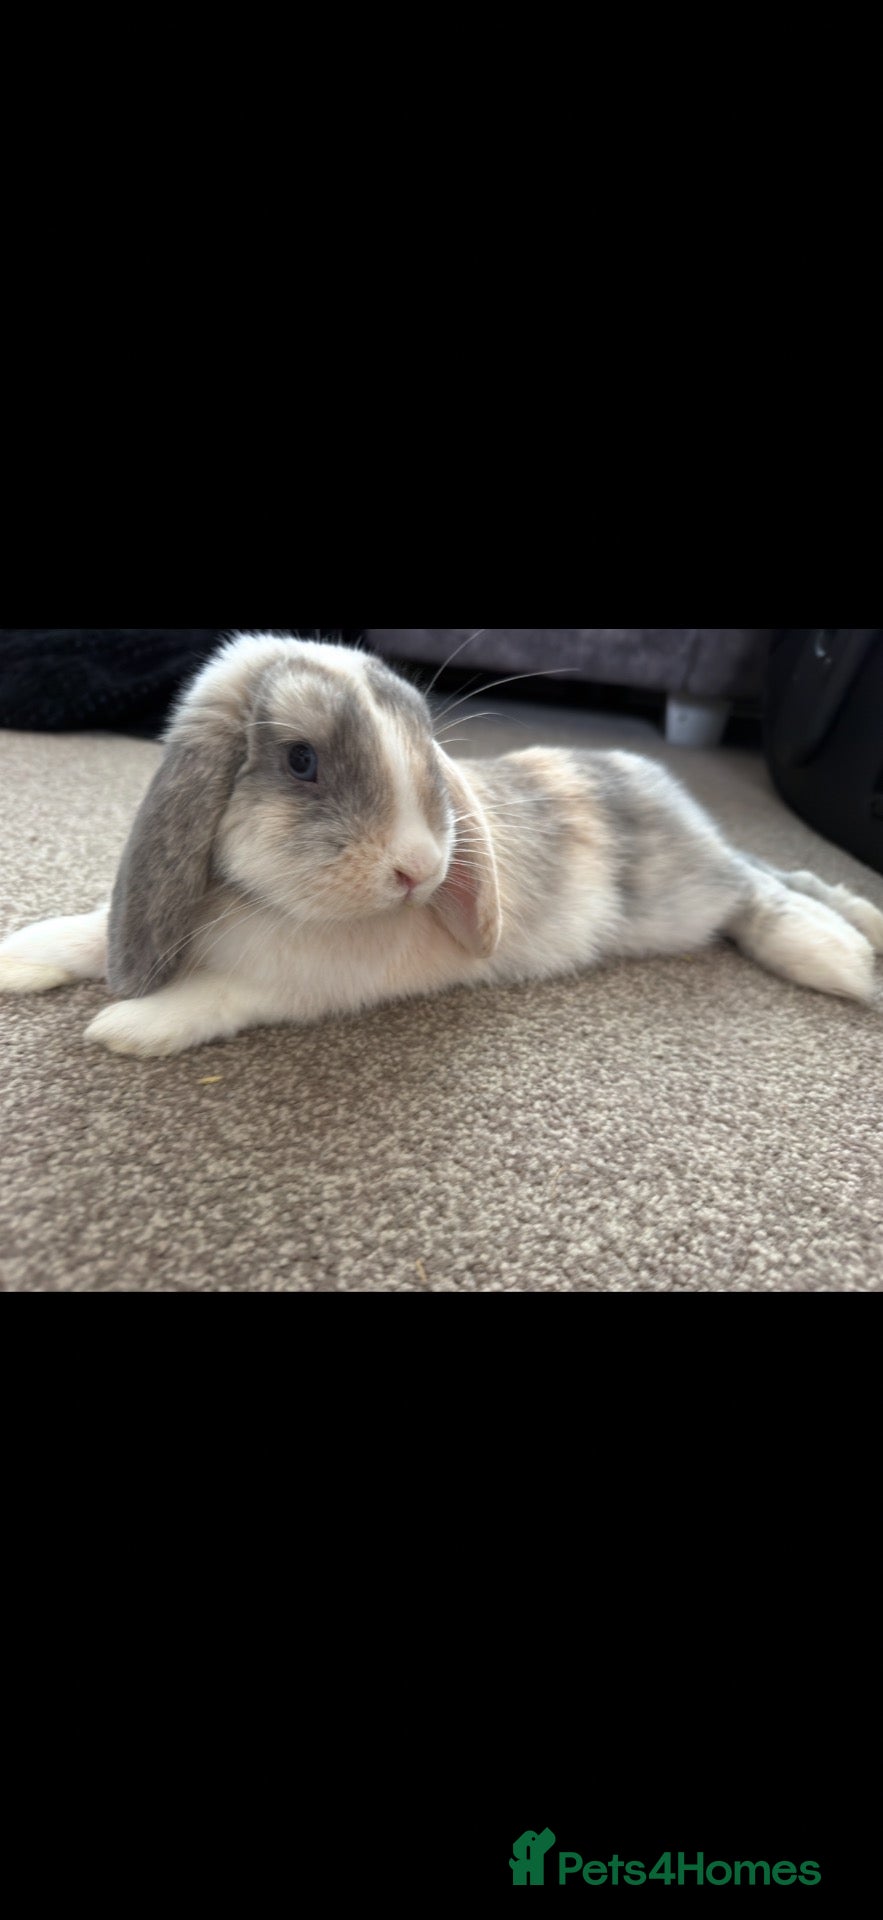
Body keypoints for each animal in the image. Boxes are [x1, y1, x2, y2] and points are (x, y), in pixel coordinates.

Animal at [1, 632, 881, 1058]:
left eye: (427, 753)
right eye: (301, 761)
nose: (419, 870)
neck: (255, 901)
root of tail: (661, 784)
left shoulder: (297, 983)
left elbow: (219, 994)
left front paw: (130, 1028)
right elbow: (89, 931)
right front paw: (18, 956)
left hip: (689, 897)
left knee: (765, 886)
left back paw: (839, 954)